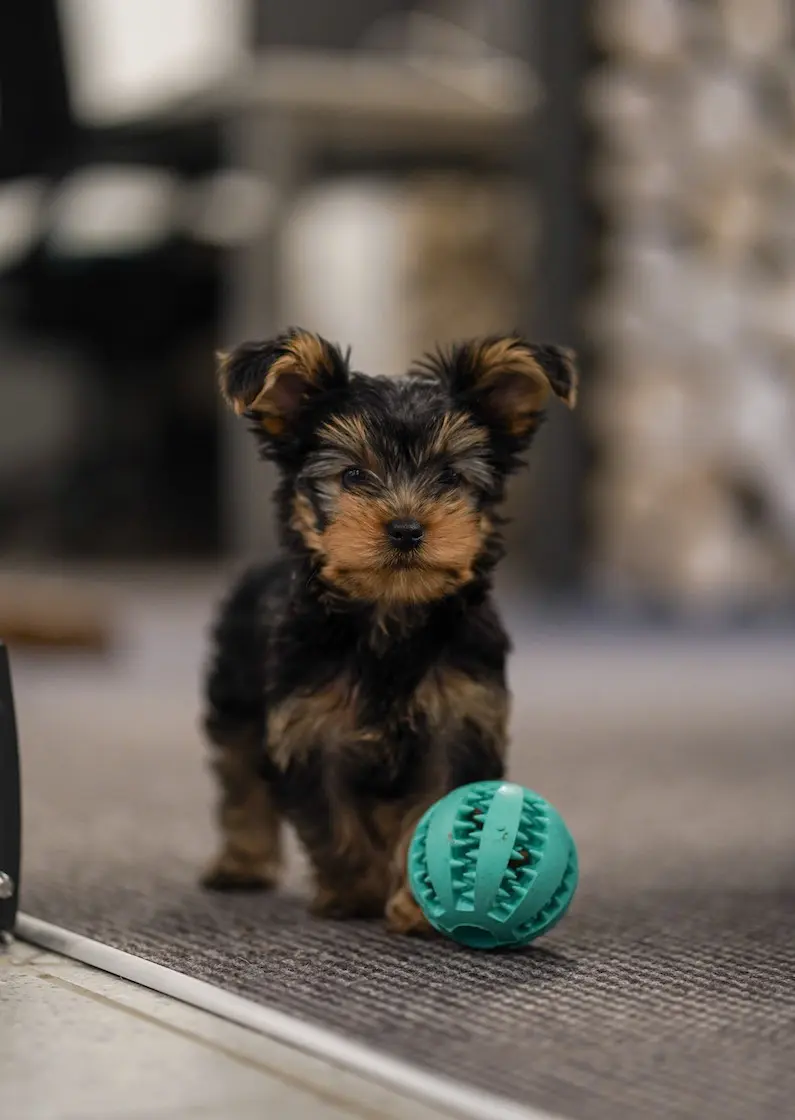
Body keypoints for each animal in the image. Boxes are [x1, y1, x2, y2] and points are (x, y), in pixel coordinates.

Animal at [203, 327, 577, 931]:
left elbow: (436, 809)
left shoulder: (461, 722)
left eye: (449, 476)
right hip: (234, 691)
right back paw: (242, 862)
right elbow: (332, 819)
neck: (391, 608)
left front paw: (414, 905)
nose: (405, 528)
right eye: (353, 476)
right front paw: (355, 892)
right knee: (239, 774)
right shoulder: (310, 729)